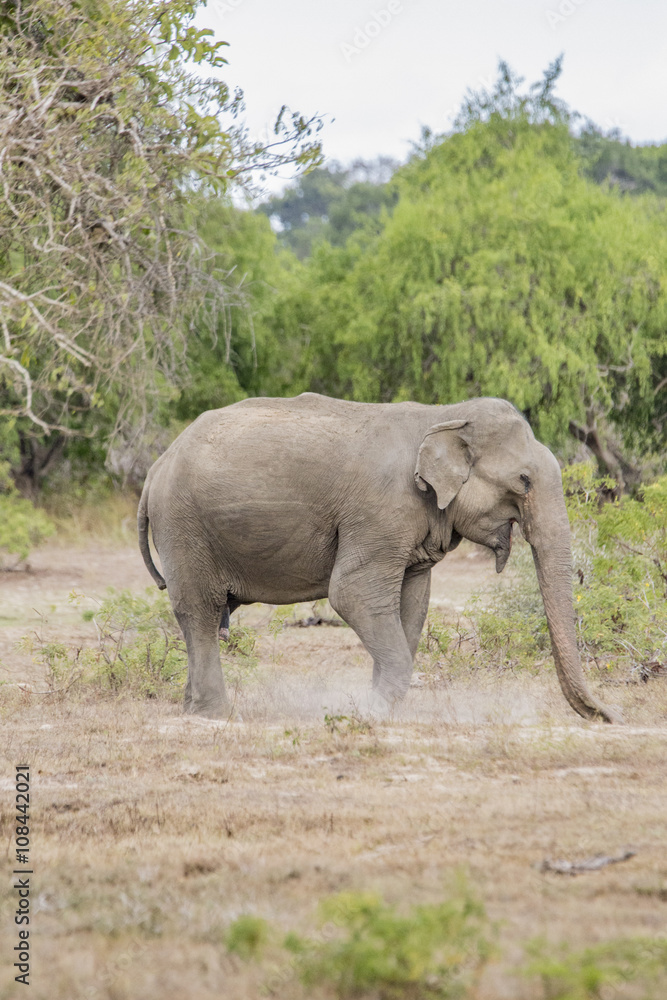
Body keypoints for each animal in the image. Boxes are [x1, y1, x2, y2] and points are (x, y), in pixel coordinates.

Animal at [138, 394, 624, 724]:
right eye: (524, 480)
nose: (610, 716)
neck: (443, 415)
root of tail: (156, 467)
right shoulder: (381, 513)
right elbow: (353, 594)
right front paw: (368, 713)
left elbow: (413, 603)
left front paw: (377, 709)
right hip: (183, 524)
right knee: (200, 610)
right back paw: (215, 715)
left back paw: (194, 709)